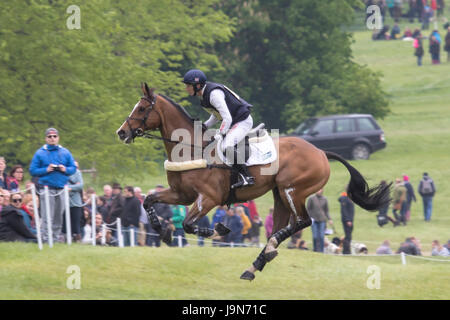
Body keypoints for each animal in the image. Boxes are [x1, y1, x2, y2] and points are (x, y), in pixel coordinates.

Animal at [116, 83, 390, 280]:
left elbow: (189, 224)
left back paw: (264, 256)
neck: (190, 148)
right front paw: (163, 232)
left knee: (303, 221)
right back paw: (258, 262)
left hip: (292, 190)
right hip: (279, 194)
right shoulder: (180, 194)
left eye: (141, 109)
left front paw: (220, 229)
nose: (121, 132)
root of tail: (322, 152)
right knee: (282, 226)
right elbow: (149, 201)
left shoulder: (208, 198)